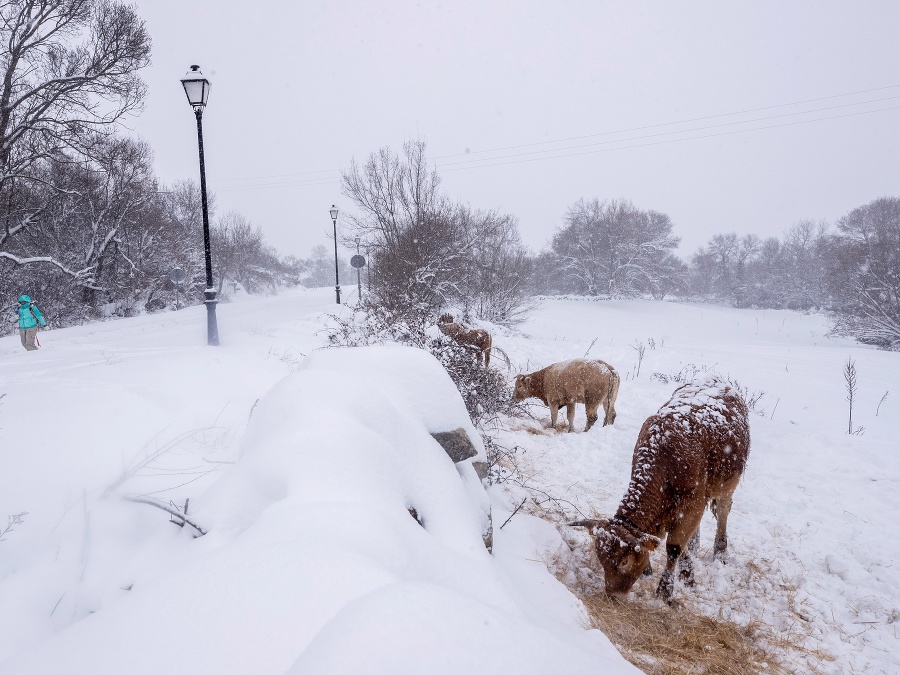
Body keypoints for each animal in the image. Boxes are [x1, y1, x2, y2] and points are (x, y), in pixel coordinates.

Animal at [568, 378, 752, 604]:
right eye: (602, 560)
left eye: (624, 561)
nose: (613, 595)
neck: (665, 456)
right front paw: (685, 572)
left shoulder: (693, 502)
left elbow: (674, 547)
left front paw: (666, 589)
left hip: (727, 484)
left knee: (724, 511)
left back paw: (721, 552)